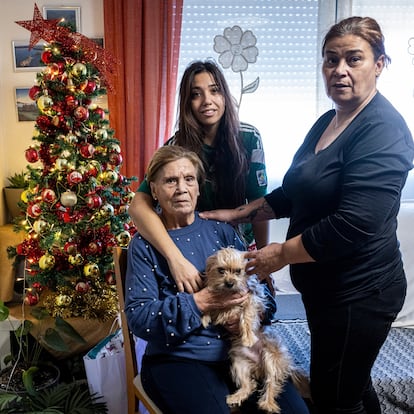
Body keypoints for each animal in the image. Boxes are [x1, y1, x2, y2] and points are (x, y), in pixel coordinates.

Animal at [201, 247, 308, 412]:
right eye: (221, 270)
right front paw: (206, 316)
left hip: (270, 357)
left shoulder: (252, 299)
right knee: (250, 385)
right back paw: (236, 397)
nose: (229, 283)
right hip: (239, 363)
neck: (229, 293)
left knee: (271, 382)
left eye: (238, 271)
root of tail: (258, 367)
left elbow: (246, 316)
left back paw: (268, 404)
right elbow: (215, 305)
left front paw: (248, 337)